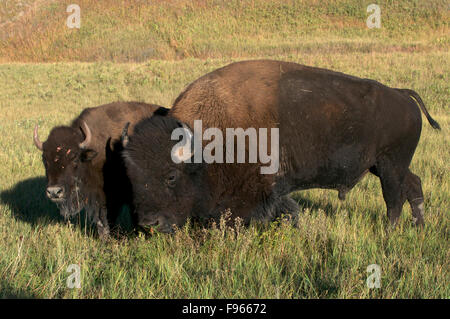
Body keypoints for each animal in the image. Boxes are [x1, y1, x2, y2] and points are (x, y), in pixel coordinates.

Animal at [121, 60, 442, 234]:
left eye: (171, 176)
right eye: (132, 177)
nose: (148, 223)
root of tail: (402, 95)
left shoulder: (257, 192)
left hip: (390, 165)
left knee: (394, 199)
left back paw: (390, 231)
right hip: (384, 165)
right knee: (413, 185)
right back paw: (419, 226)